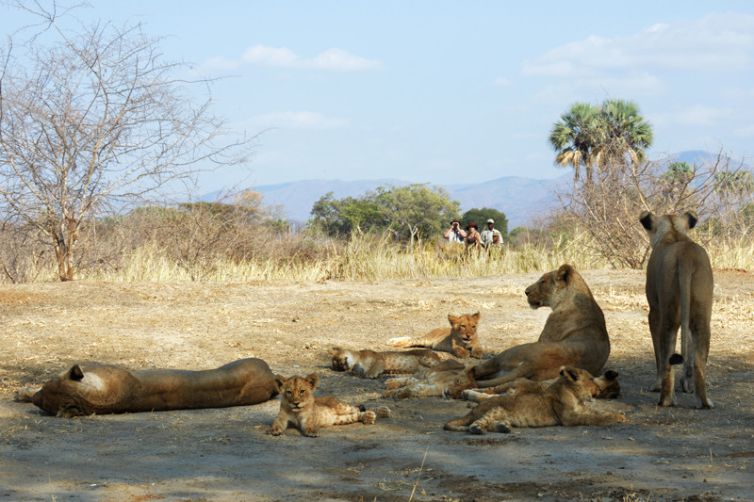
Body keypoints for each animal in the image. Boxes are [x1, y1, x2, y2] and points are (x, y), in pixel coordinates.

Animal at [444, 366, 626, 434]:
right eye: (591, 379)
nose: (598, 391)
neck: (574, 394)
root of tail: (473, 410)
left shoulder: (582, 409)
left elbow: (598, 411)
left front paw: (620, 414)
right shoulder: (569, 417)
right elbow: (593, 417)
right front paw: (616, 418)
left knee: (491, 422)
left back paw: (504, 427)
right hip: (497, 406)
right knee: (478, 421)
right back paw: (477, 428)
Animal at [640, 211, 714, 408]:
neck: (673, 232)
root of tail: (685, 255)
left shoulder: (654, 312)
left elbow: (658, 353)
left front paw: (656, 385)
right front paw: (686, 384)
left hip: (668, 315)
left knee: (666, 357)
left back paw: (665, 399)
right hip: (702, 315)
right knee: (698, 361)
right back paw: (704, 402)